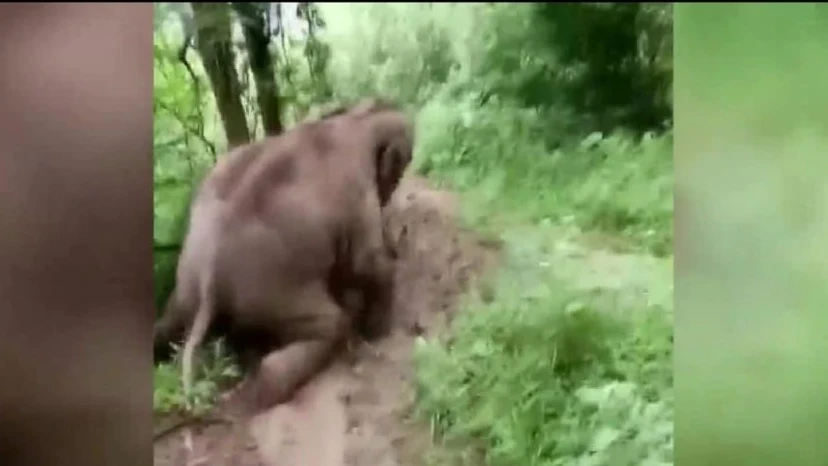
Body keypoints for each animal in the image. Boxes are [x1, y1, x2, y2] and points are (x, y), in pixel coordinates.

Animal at [152, 98, 414, 417]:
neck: (353, 119)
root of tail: (210, 278)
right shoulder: (357, 191)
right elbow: (367, 262)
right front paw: (380, 331)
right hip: (272, 293)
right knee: (332, 323)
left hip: (187, 280)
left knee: (169, 321)